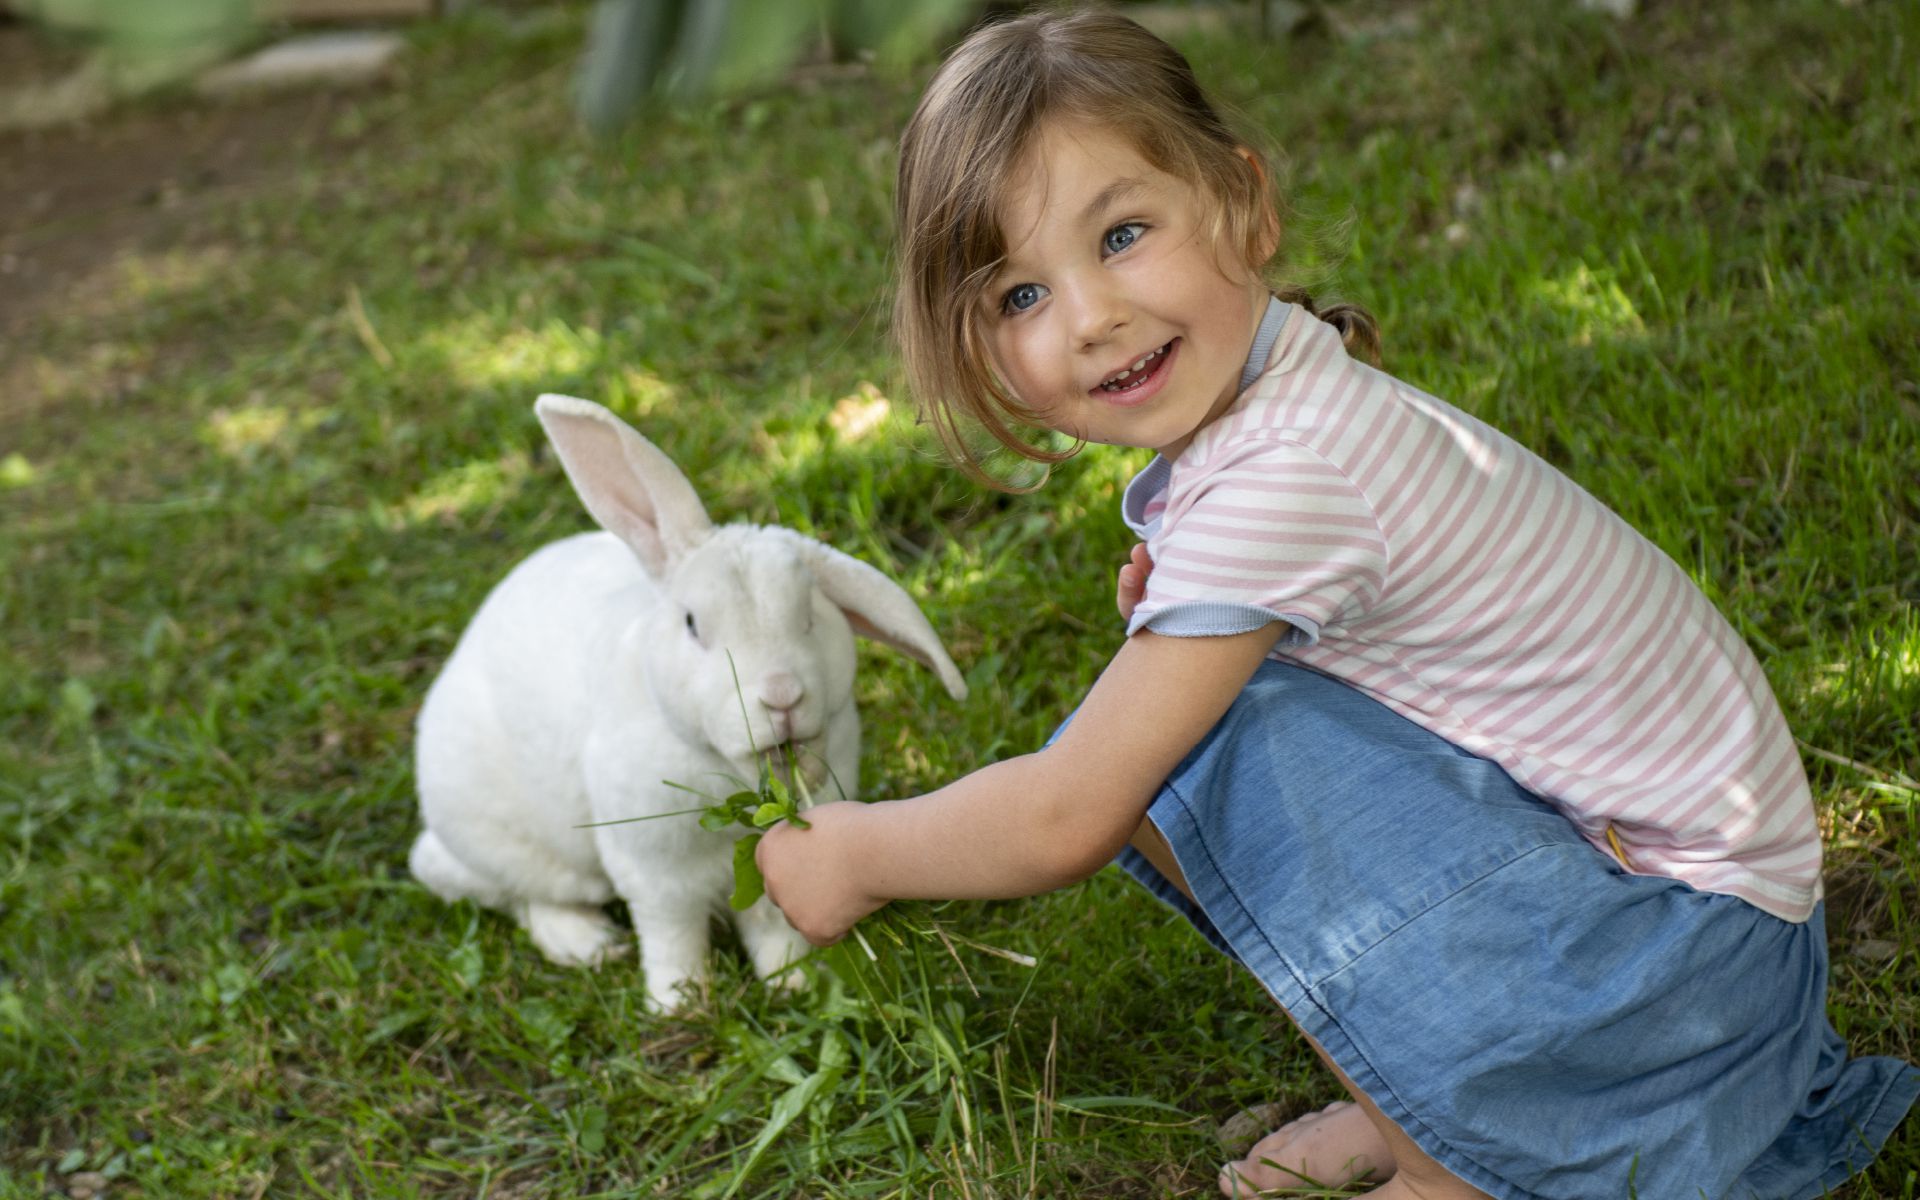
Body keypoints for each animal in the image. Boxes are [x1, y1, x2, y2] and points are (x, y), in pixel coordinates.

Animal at [410, 393, 967, 1013]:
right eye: (693, 625)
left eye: (810, 616)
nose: (782, 695)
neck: (723, 772)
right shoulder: (655, 874)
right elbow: (671, 933)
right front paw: (678, 1000)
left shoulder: (766, 872)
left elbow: (770, 928)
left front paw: (791, 982)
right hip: (513, 850)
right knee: (504, 890)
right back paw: (586, 942)